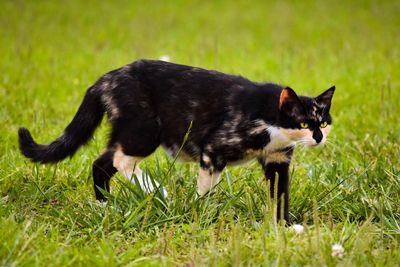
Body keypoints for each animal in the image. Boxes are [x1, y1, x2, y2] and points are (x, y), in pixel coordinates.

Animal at [18, 59, 334, 223]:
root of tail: (104, 79)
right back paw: (155, 191)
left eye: (323, 122)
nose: (318, 137)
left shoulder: (278, 159)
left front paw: (285, 225)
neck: (269, 119)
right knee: (120, 160)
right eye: (303, 124)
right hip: (145, 131)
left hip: (128, 131)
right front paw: (201, 212)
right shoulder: (213, 150)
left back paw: (104, 205)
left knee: (101, 162)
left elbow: (280, 193)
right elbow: (206, 189)